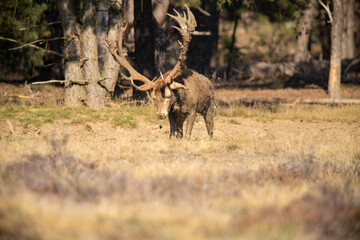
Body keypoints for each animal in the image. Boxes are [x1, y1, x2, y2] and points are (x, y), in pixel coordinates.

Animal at [105, 5, 215, 139]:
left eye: (168, 95)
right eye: (153, 98)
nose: (160, 114)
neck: (180, 100)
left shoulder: (192, 110)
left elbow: (188, 135)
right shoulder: (173, 113)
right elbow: (173, 134)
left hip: (209, 106)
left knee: (210, 127)